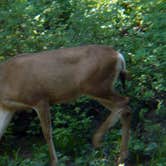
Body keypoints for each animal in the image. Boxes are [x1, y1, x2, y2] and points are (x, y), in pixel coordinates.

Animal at [0, 45, 132, 166]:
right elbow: (1, 130)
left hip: (96, 86)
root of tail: (118, 55)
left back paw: (98, 140)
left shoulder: (40, 99)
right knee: (125, 109)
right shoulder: (8, 107)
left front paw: (54, 162)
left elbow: (47, 133)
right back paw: (121, 157)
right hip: (98, 89)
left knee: (123, 101)